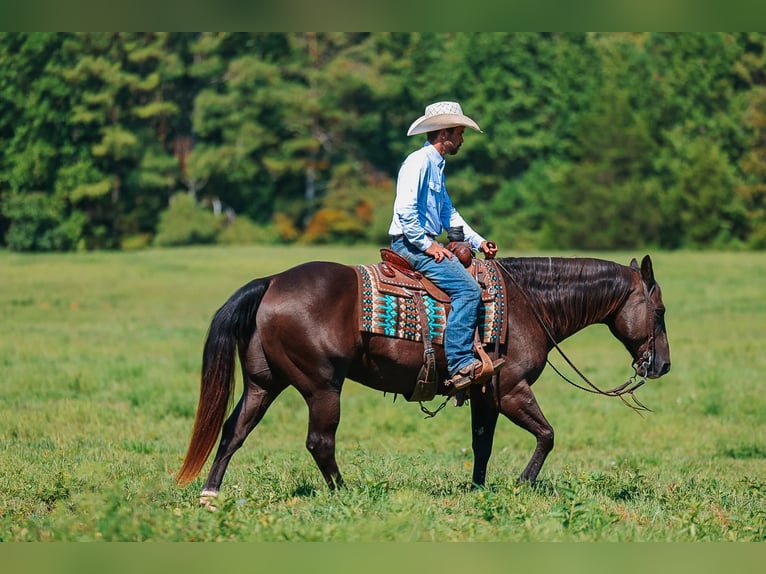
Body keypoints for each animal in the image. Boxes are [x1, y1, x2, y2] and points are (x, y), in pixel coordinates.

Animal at [176, 254, 670, 504]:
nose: (662, 365)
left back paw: (210, 492)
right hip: (322, 386)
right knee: (320, 442)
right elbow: (547, 435)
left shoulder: (485, 395)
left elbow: (482, 445)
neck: (528, 303)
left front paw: (478, 490)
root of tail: (273, 281)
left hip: (265, 383)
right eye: (661, 310)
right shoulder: (512, 390)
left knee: (234, 430)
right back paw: (346, 494)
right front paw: (523, 483)